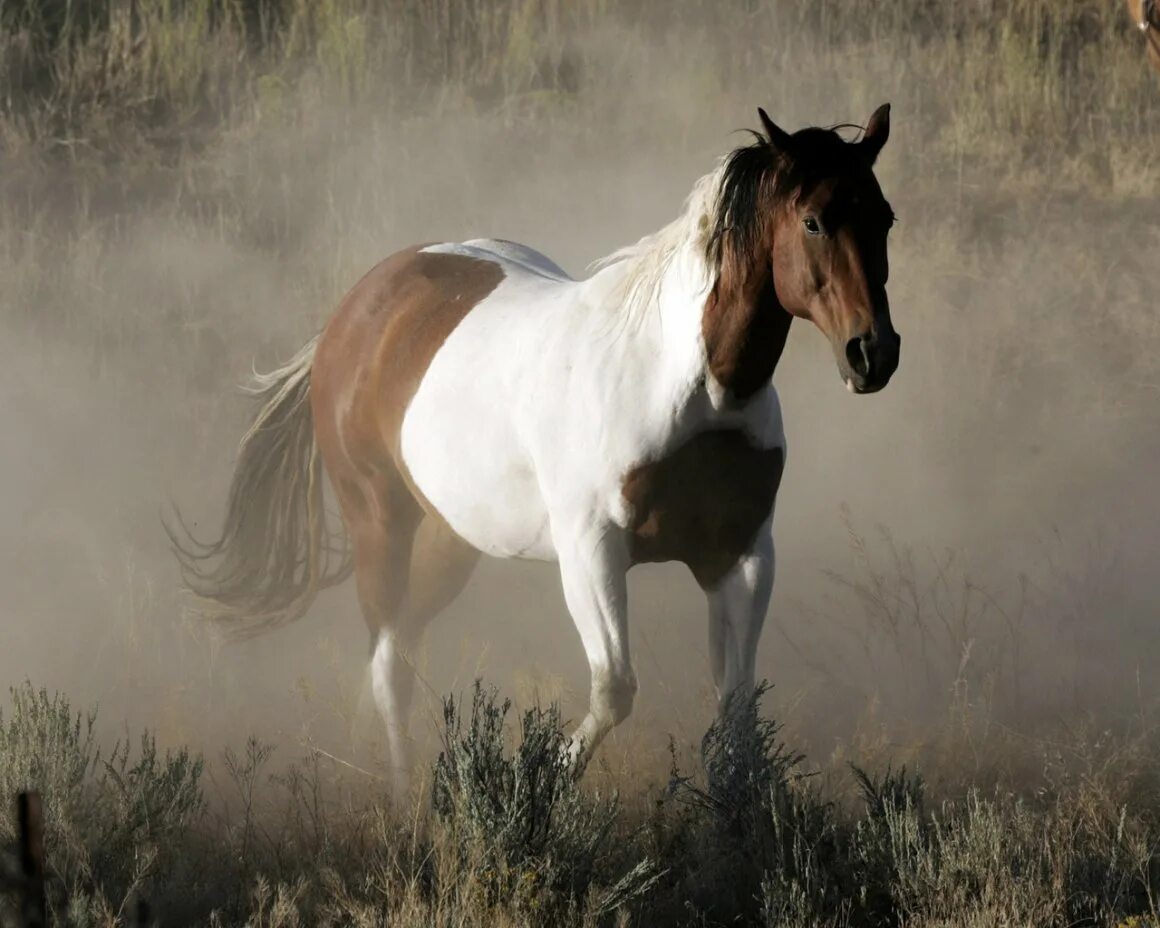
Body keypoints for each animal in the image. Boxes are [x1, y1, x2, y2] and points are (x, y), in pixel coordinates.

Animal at [168, 104, 900, 779]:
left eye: (884, 217)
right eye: (813, 220)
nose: (874, 354)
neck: (687, 387)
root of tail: (352, 313)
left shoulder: (741, 556)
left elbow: (737, 714)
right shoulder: (592, 550)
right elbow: (614, 692)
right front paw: (536, 783)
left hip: (452, 538)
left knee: (402, 644)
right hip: (379, 524)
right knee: (386, 665)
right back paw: (404, 798)